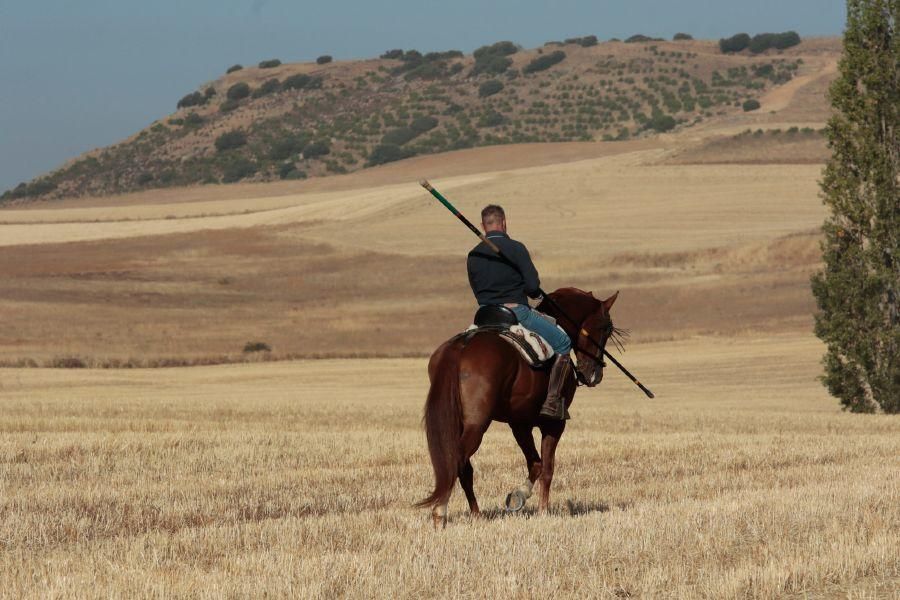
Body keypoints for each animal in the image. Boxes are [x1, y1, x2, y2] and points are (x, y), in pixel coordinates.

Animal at [416, 286, 620, 524]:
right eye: (606, 328)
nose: (594, 374)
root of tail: (462, 346)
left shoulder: (519, 423)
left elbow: (535, 464)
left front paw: (518, 496)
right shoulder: (554, 424)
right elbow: (547, 468)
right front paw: (543, 511)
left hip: (457, 422)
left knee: (464, 468)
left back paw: (476, 514)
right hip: (477, 424)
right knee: (457, 461)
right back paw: (440, 512)